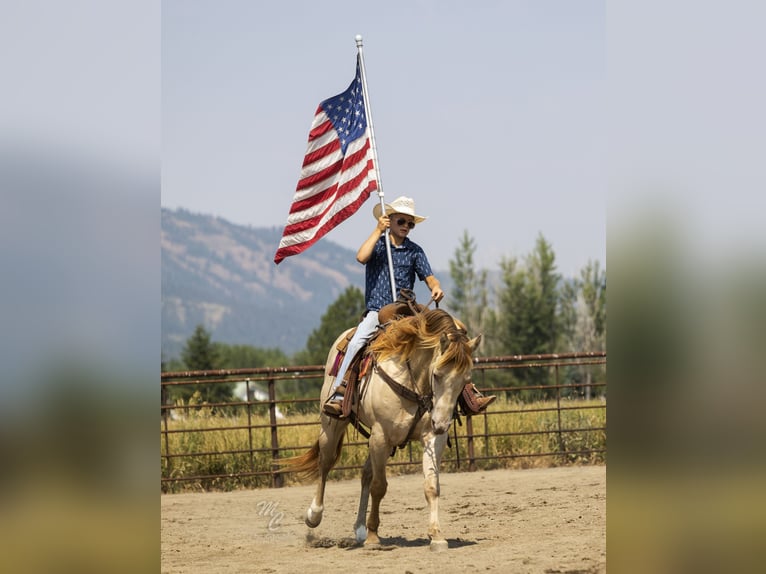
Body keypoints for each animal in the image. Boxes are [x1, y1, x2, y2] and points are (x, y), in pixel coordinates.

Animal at [284, 310, 484, 552]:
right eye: (436, 374)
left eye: (466, 380)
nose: (441, 423)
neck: (413, 380)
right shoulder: (381, 436)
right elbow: (379, 487)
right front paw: (373, 538)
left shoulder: (431, 438)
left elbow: (431, 486)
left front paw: (436, 535)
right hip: (332, 425)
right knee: (326, 462)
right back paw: (314, 515)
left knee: (365, 474)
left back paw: (359, 528)